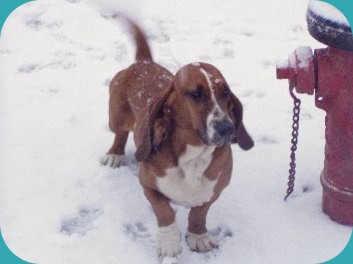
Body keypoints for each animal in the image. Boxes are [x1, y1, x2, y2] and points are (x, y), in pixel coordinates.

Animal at [102, 16, 253, 258]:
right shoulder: (148, 186)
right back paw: (115, 154)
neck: (194, 155)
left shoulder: (214, 191)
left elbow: (199, 213)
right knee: (120, 133)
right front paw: (169, 241)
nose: (227, 129)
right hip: (114, 118)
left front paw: (198, 236)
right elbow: (164, 212)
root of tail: (143, 62)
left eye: (225, 93)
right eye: (195, 94)